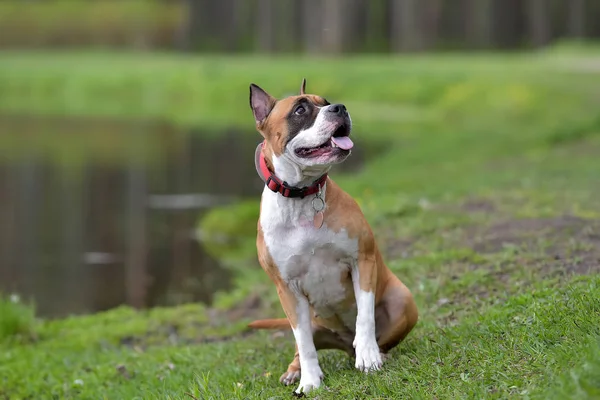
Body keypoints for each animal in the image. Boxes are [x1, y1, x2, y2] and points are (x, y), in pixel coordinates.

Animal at [246, 79, 420, 394]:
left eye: (325, 102)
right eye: (300, 110)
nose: (339, 107)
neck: (302, 196)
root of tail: (343, 345)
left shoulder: (362, 260)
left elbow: (365, 317)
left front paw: (369, 356)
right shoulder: (287, 289)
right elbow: (303, 342)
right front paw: (310, 380)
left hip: (404, 300)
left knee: (377, 335)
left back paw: (376, 352)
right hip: (311, 319)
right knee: (300, 346)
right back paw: (294, 371)